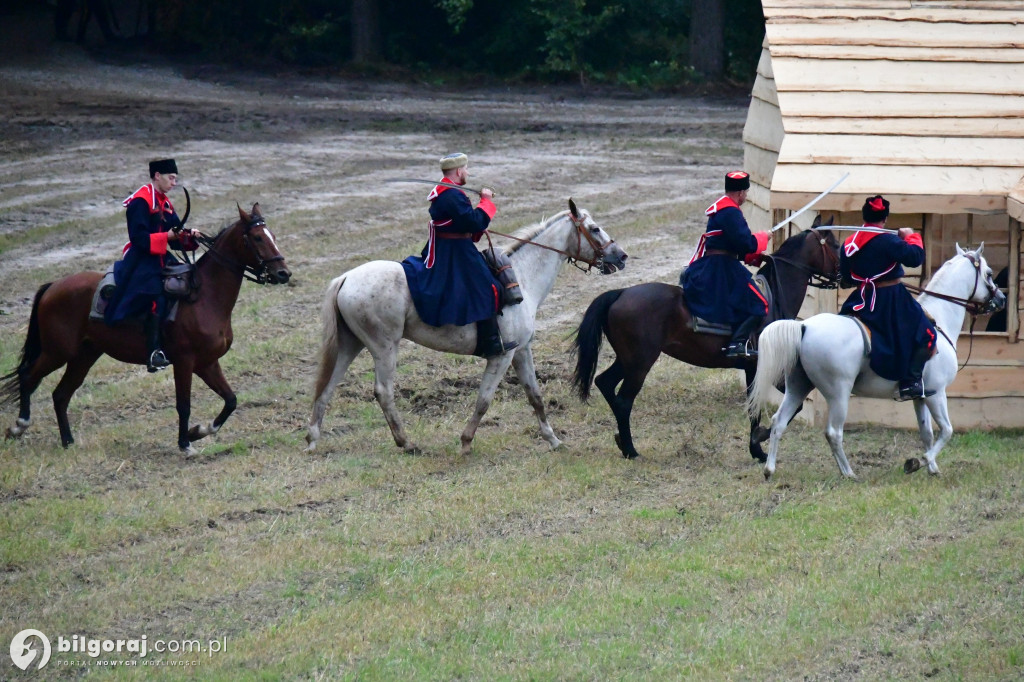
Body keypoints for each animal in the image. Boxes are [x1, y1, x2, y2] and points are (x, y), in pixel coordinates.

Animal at [2, 204, 290, 454]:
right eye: (257, 237)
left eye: (272, 235)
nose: (283, 273)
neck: (204, 296)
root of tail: (53, 286)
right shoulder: (185, 362)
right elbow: (183, 405)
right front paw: (185, 444)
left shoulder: (207, 363)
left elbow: (230, 400)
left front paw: (198, 431)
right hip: (57, 352)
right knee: (28, 377)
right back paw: (19, 426)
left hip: (84, 355)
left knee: (60, 395)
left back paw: (68, 442)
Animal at [303, 197, 622, 450]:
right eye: (594, 228)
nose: (621, 256)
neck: (522, 275)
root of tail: (346, 278)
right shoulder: (502, 356)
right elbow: (484, 399)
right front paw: (466, 442)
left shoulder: (521, 351)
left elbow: (535, 395)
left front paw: (553, 440)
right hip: (384, 347)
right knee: (383, 391)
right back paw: (405, 442)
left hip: (350, 345)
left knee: (328, 386)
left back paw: (313, 438)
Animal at [573, 220, 835, 458]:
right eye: (832, 243)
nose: (841, 276)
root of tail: (621, 293)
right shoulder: (767, 367)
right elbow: (781, 406)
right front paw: (759, 441)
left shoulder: (754, 369)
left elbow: (757, 408)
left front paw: (756, 449)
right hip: (640, 363)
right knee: (624, 401)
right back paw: (631, 450)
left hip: (628, 360)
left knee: (605, 383)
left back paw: (621, 440)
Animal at [749, 244, 1003, 477]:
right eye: (989, 273)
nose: (1001, 299)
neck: (939, 320)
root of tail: (804, 327)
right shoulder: (937, 393)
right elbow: (947, 431)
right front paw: (919, 462)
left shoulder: (921, 396)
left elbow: (927, 433)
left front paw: (932, 469)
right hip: (839, 393)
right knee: (833, 432)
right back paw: (848, 473)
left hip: (798, 386)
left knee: (778, 422)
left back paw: (770, 469)